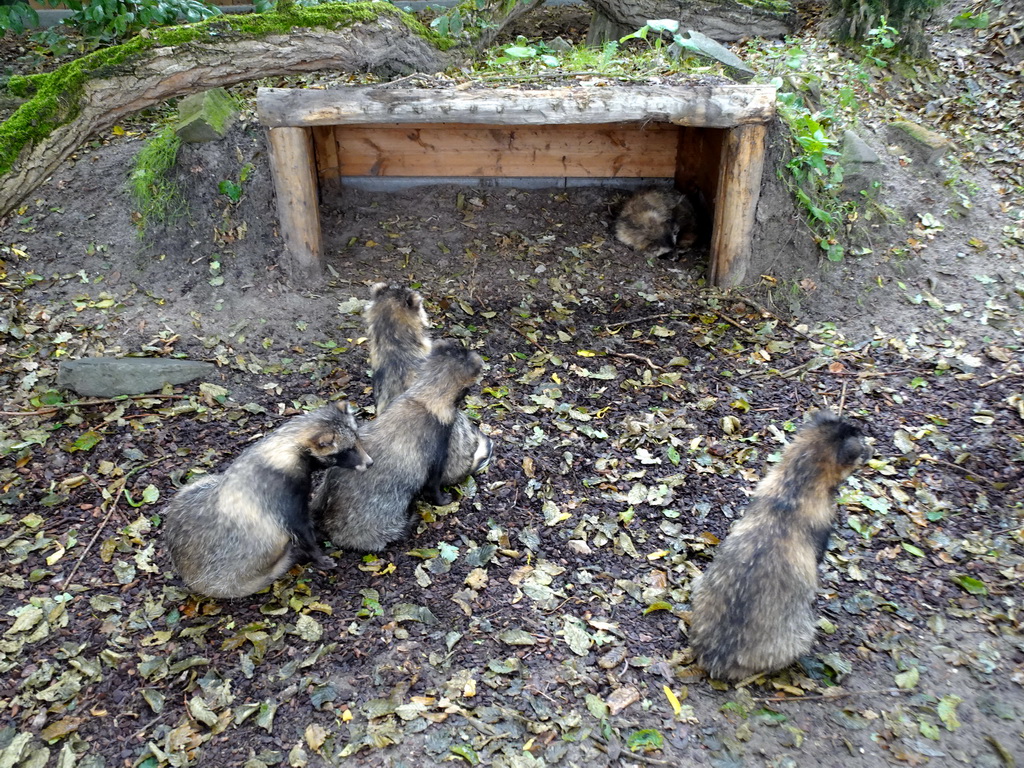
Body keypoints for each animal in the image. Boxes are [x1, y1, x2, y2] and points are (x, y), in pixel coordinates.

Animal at [165, 403, 374, 602]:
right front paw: (320, 556)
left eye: (357, 439)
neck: (277, 452)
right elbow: (300, 529)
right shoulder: (283, 496)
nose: (369, 463)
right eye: (347, 450)